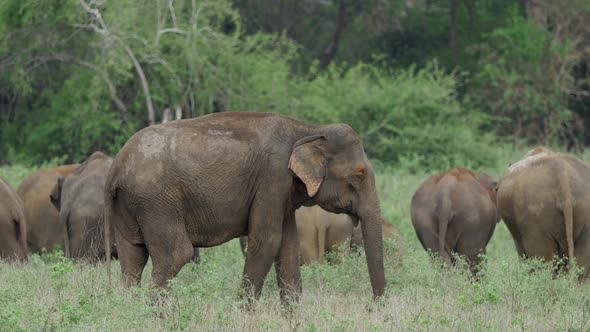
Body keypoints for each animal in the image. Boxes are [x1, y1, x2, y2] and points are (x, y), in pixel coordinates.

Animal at [103, 111, 386, 304]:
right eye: (359, 175)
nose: (375, 305)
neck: (307, 129)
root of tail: (115, 166)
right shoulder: (272, 179)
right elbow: (267, 240)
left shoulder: (281, 193)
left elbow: (288, 246)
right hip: (157, 202)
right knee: (175, 254)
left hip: (131, 205)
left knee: (133, 258)